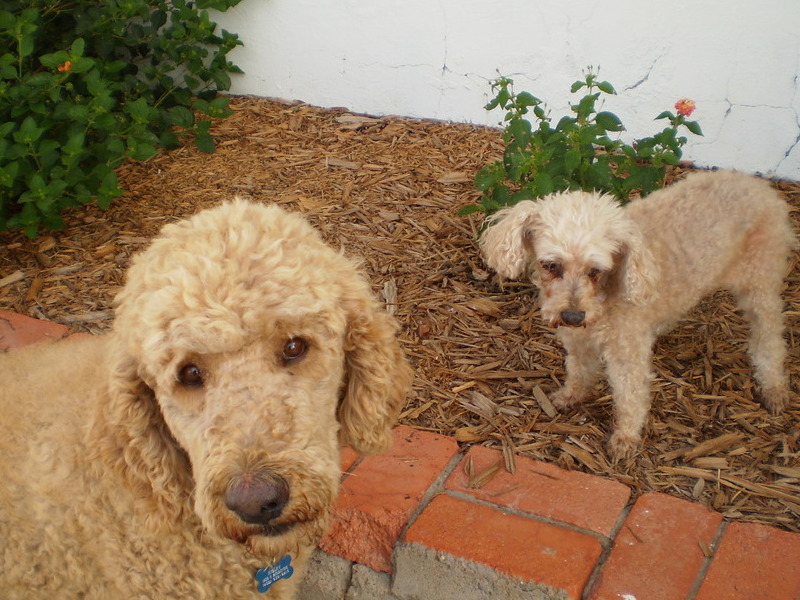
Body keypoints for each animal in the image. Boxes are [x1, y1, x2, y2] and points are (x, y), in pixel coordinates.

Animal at [478, 169, 796, 460]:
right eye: (551, 265)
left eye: (596, 270)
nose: (573, 317)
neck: (605, 299)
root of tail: (755, 182)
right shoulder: (578, 341)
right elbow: (579, 371)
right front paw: (570, 396)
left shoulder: (627, 354)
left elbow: (630, 395)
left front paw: (626, 439)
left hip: (759, 285)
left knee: (770, 339)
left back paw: (774, 388)